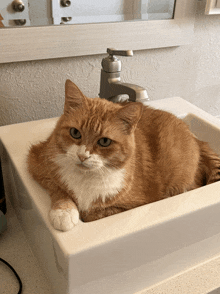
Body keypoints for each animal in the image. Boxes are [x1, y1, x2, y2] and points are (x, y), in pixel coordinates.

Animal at [27, 79, 220, 231]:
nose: (82, 156)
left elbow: (95, 213)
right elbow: (58, 188)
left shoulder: (138, 203)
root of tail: (196, 138)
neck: (87, 177)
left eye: (105, 142)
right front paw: (64, 211)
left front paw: (81, 212)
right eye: (75, 133)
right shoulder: (36, 161)